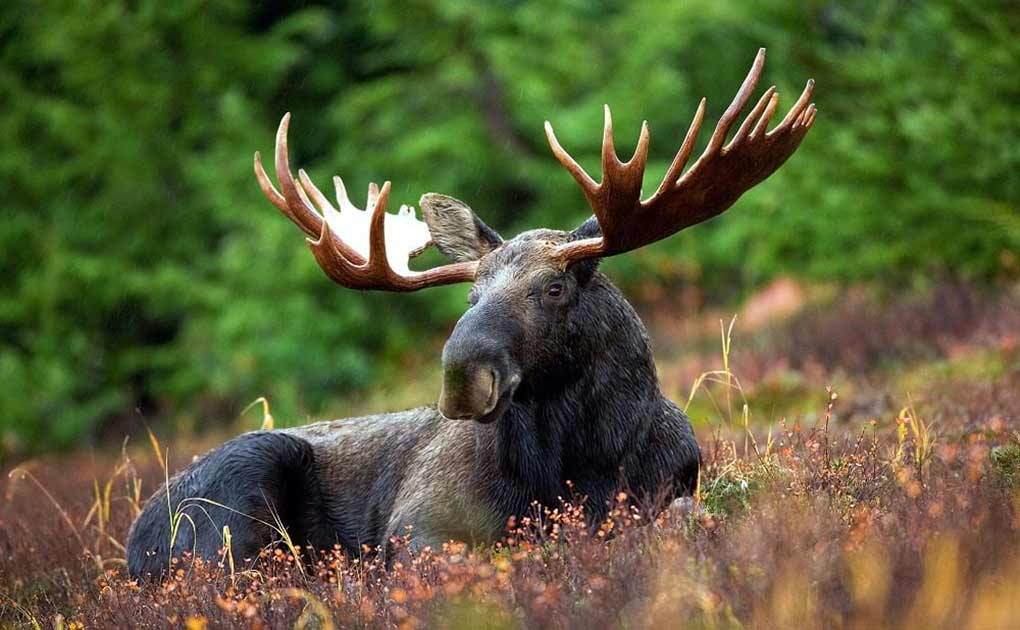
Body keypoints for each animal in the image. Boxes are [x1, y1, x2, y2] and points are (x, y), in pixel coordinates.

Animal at [127, 49, 815, 578]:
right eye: (470, 296)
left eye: (553, 288)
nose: (462, 376)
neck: (583, 463)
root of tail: (133, 544)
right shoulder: (417, 526)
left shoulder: (672, 488)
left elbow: (681, 516)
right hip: (237, 497)